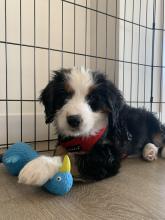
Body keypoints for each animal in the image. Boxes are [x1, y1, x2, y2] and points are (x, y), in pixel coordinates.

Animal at [18, 68, 165, 185]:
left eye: (92, 98)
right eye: (64, 96)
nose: (74, 120)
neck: (82, 138)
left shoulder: (107, 157)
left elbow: (73, 158)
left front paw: (38, 168)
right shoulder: (65, 143)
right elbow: (61, 151)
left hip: (154, 127)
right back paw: (149, 151)